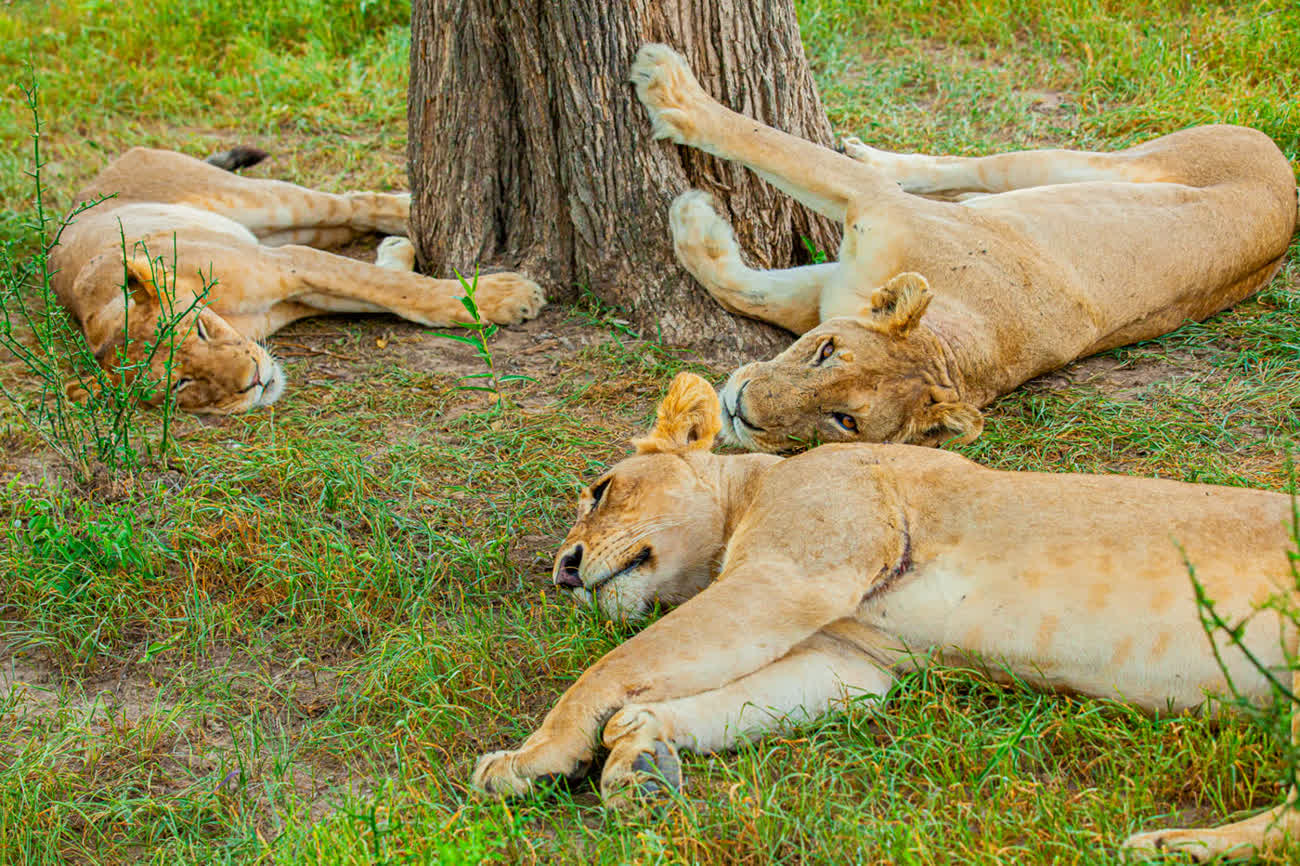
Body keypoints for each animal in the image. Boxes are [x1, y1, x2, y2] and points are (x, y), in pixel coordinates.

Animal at [50, 147, 545, 413]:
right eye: (181, 385)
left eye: (201, 330)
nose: (253, 380)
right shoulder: (295, 284)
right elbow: (388, 291)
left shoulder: (288, 262)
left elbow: (397, 289)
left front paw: (508, 295)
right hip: (289, 229)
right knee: (351, 222)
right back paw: (398, 243)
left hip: (266, 203)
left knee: (354, 202)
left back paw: (411, 210)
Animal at [472, 372, 1300, 861]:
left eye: (601, 490)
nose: (563, 570)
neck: (753, 491)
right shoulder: (852, 661)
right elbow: (713, 699)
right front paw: (641, 753)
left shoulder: (791, 576)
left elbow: (611, 667)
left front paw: (528, 758)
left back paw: (1170, 844)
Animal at [630, 44, 1297, 451]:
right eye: (824, 352)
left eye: (844, 420)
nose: (740, 408)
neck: (956, 350)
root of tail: (1287, 179)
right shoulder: (862, 236)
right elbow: (764, 153)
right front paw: (670, 95)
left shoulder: (854, 246)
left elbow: (752, 251)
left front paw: (688, 203)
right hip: (1086, 165)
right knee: (972, 167)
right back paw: (880, 155)